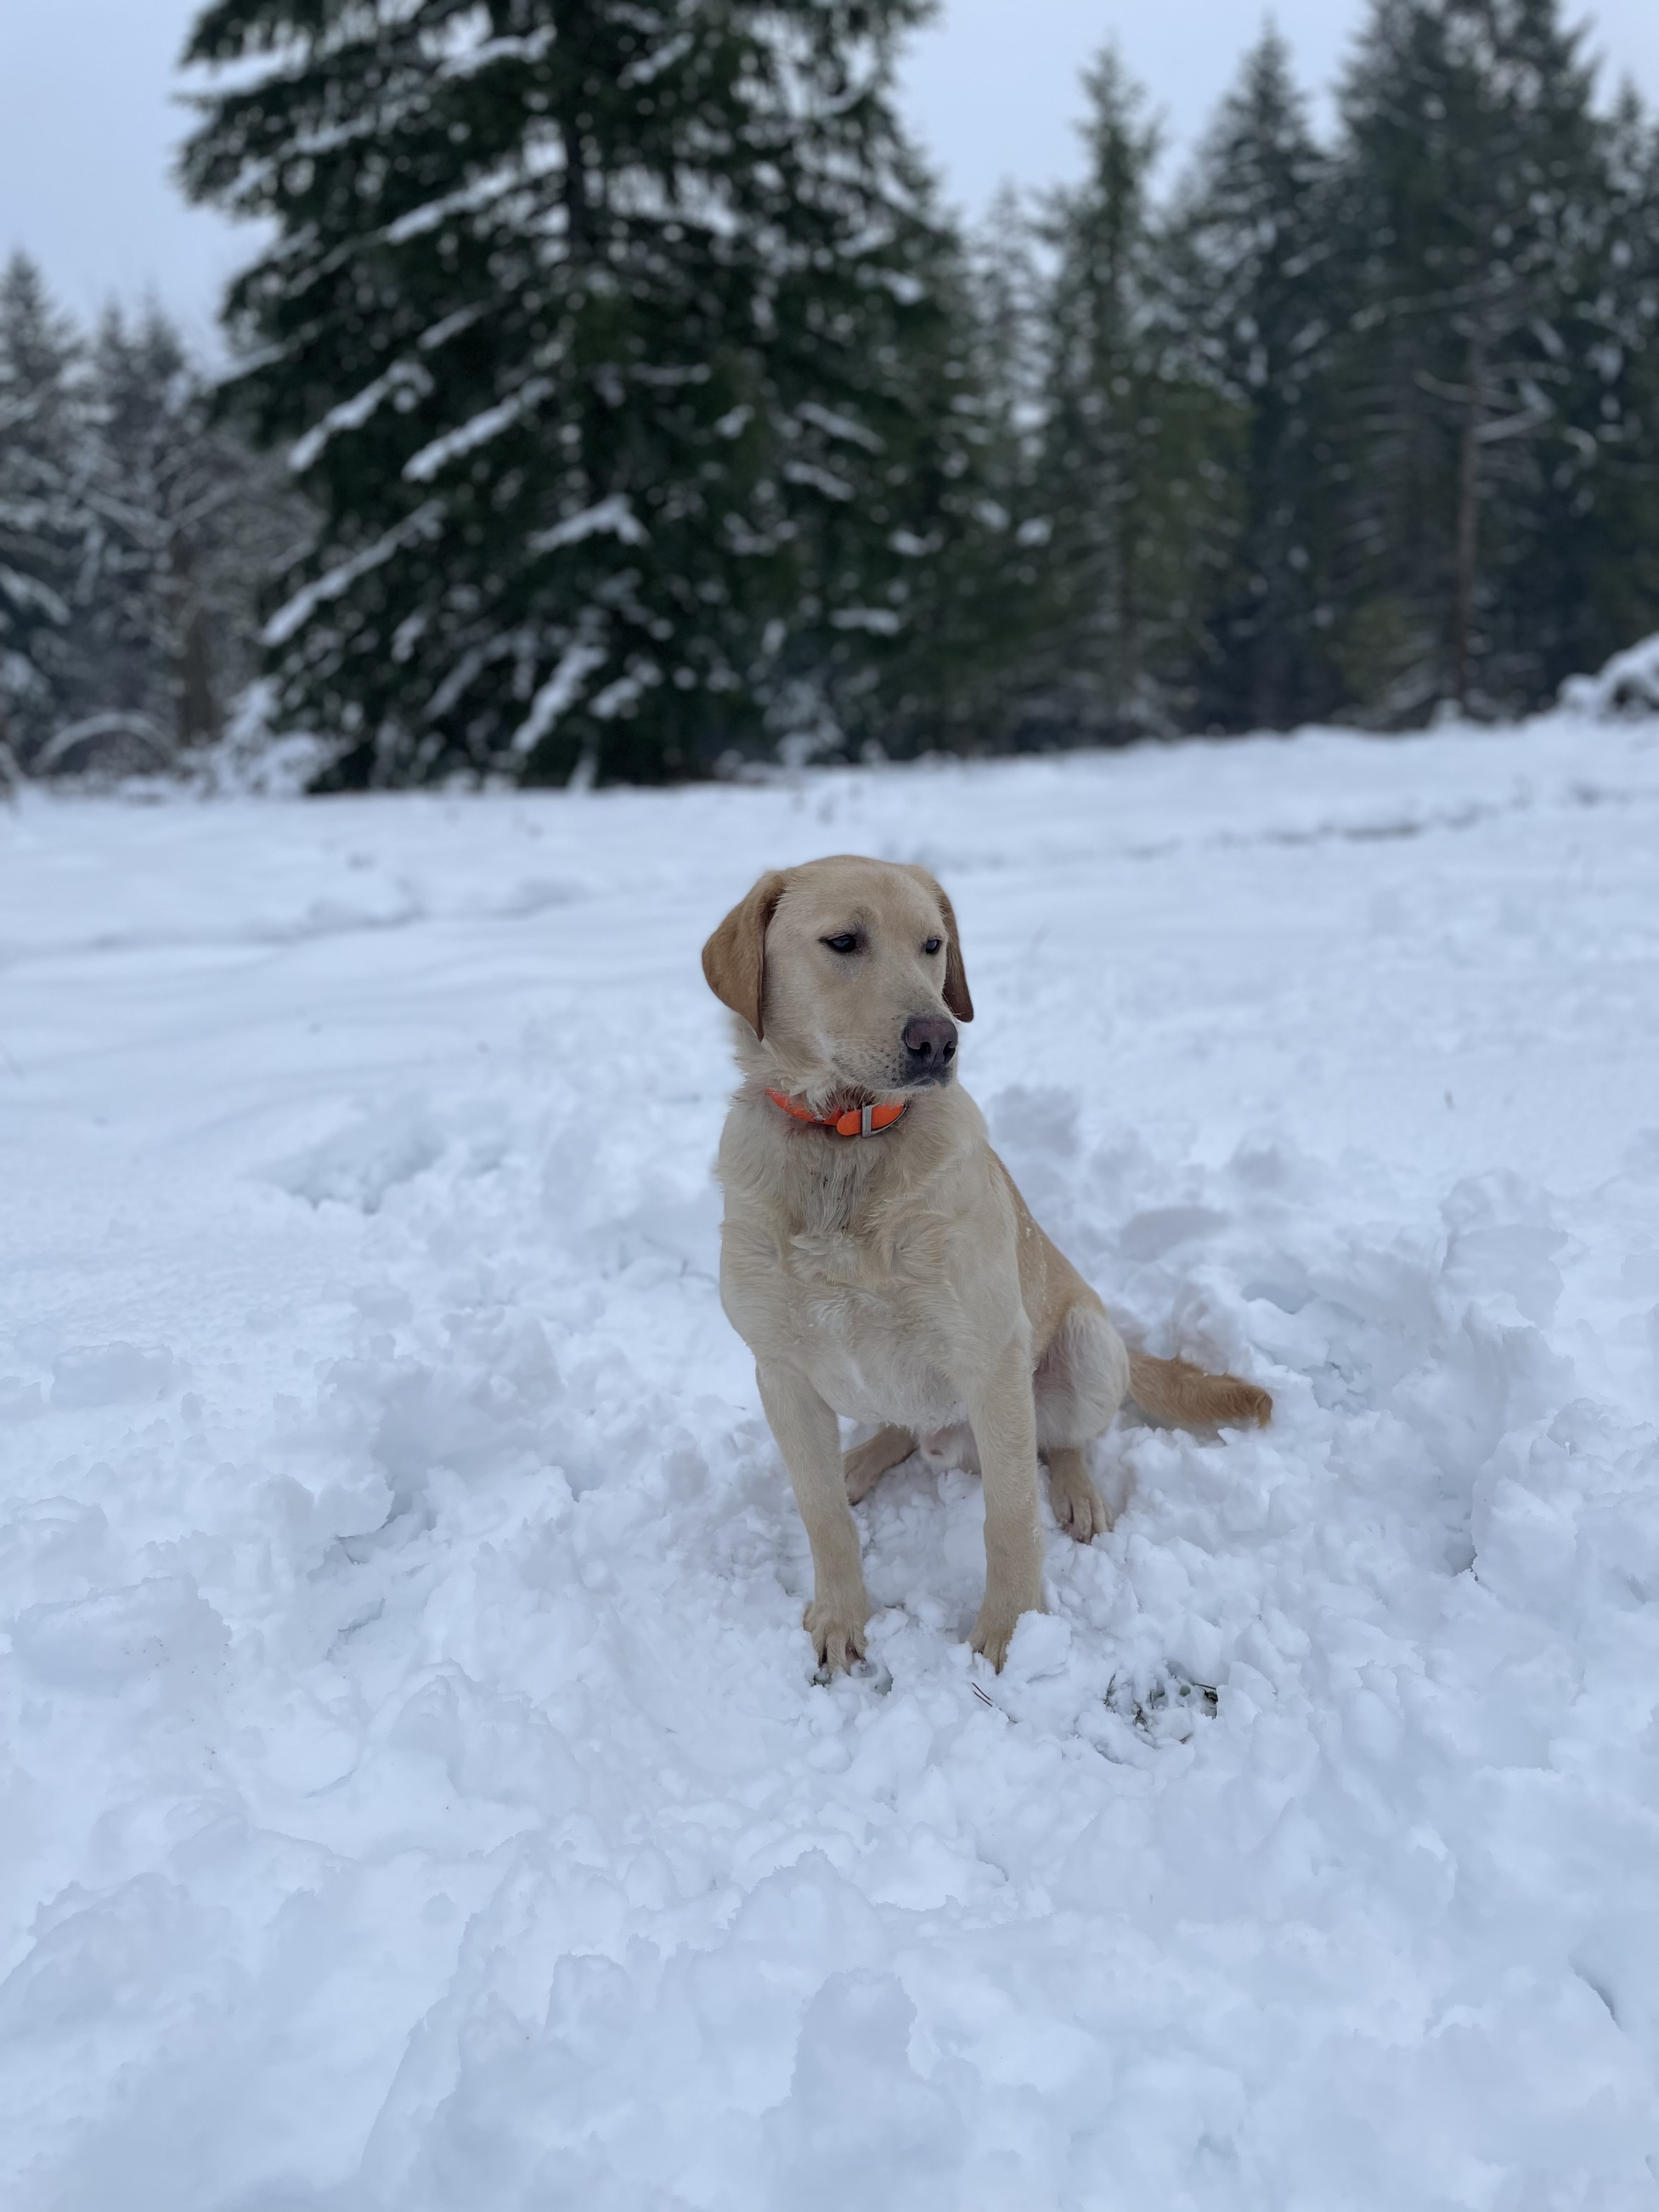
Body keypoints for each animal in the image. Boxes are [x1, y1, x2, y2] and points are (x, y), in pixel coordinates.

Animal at [703, 854, 1274, 1663]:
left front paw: (1011, 1633)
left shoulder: (991, 1357)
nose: (939, 1040)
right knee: (899, 1432)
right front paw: (842, 1618)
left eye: (933, 945)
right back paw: (859, 1461)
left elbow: (1011, 1516)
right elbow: (821, 1514)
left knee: (1065, 1441)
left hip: (1087, 1343)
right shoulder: (779, 1371)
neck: (845, 1143)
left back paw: (1078, 1493)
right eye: (843, 941)